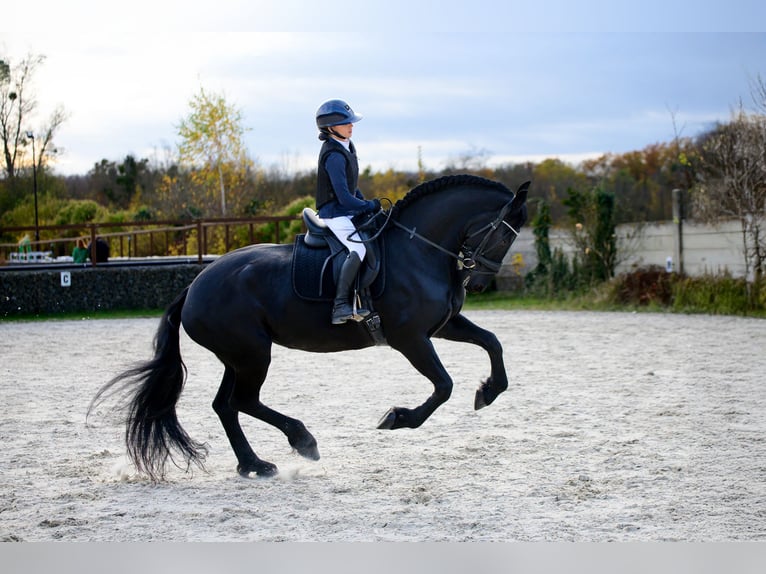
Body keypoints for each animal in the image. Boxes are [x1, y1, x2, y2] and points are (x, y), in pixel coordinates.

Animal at [91, 176, 528, 482]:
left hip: (238, 357)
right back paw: (302, 441)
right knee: (243, 401)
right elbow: (443, 386)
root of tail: (195, 286)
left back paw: (255, 464)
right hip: (253, 354)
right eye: (503, 232)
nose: (481, 283)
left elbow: (493, 343)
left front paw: (488, 391)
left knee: (226, 405)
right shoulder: (410, 339)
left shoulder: (442, 325)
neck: (419, 249)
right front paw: (397, 418)